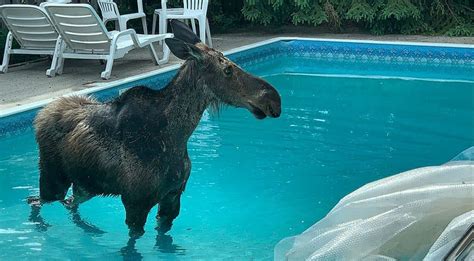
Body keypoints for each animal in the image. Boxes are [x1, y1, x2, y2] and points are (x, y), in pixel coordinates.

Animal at [28, 20, 282, 235]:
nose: (273, 100)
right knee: (36, 200)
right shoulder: (136, 203)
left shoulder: (172, 196)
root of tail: (42, 114)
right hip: (53, 178)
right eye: (227, 69)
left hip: (86, 185)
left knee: (69, 204)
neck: (176, 136)